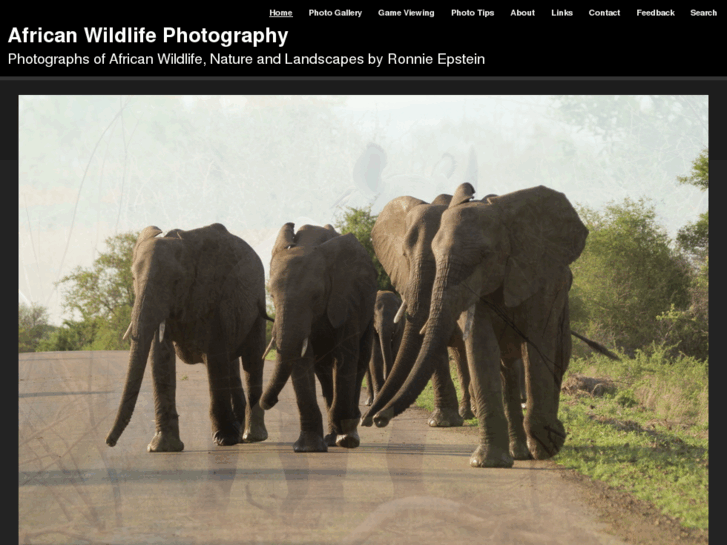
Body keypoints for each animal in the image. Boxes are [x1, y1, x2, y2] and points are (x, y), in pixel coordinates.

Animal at [106, 221, 268, 450]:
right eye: (133, 278)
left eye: (176, 281)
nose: (109, 442)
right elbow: (160, 358)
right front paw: (162, 448)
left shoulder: (215, 294)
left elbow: (216, 357)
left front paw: (224, 440)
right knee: (232, 364)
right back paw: (239, 432)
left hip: (257, 304)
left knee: (251, 360)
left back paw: (251, 436)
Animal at [258, 221, 378, 450]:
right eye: (272, 296)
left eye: (316, 296)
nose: (269, 402)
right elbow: (302, 360)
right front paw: (308, 448)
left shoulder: (348, 298)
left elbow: (346, 358)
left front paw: (345, 434)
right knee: (323, 372)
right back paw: (333, 438)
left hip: (368, 314)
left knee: (360, 361)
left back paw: (347, 436)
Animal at [370, 184, 592, 468]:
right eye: (405, 256)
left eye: (484, 256)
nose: (377, 419)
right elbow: (479, 346)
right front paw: (486, 460)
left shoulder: (541, 280)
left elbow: (539, 343)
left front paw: (546, 446)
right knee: (502, 367)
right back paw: (516, 450)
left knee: (555, 356)